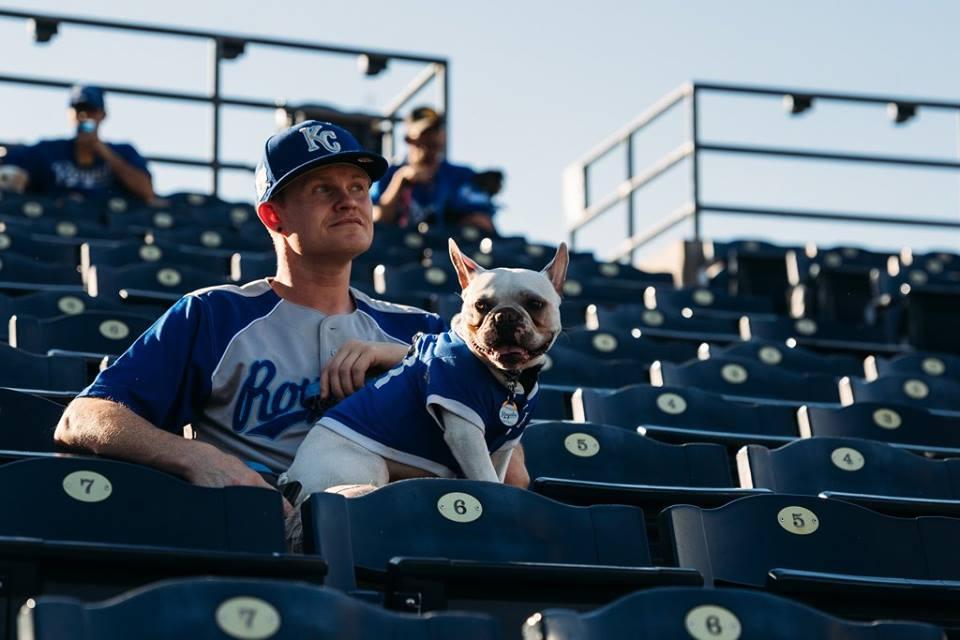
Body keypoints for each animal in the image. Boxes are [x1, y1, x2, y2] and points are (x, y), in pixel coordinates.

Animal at [278, 238, 568, 502]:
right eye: (481, 306)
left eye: (535, 304)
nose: (505, 315)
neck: (509, 378)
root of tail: (292, 474)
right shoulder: (465, 432)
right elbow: (486, 476)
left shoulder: (504, 446)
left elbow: (496, 473)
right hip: (362, 465)